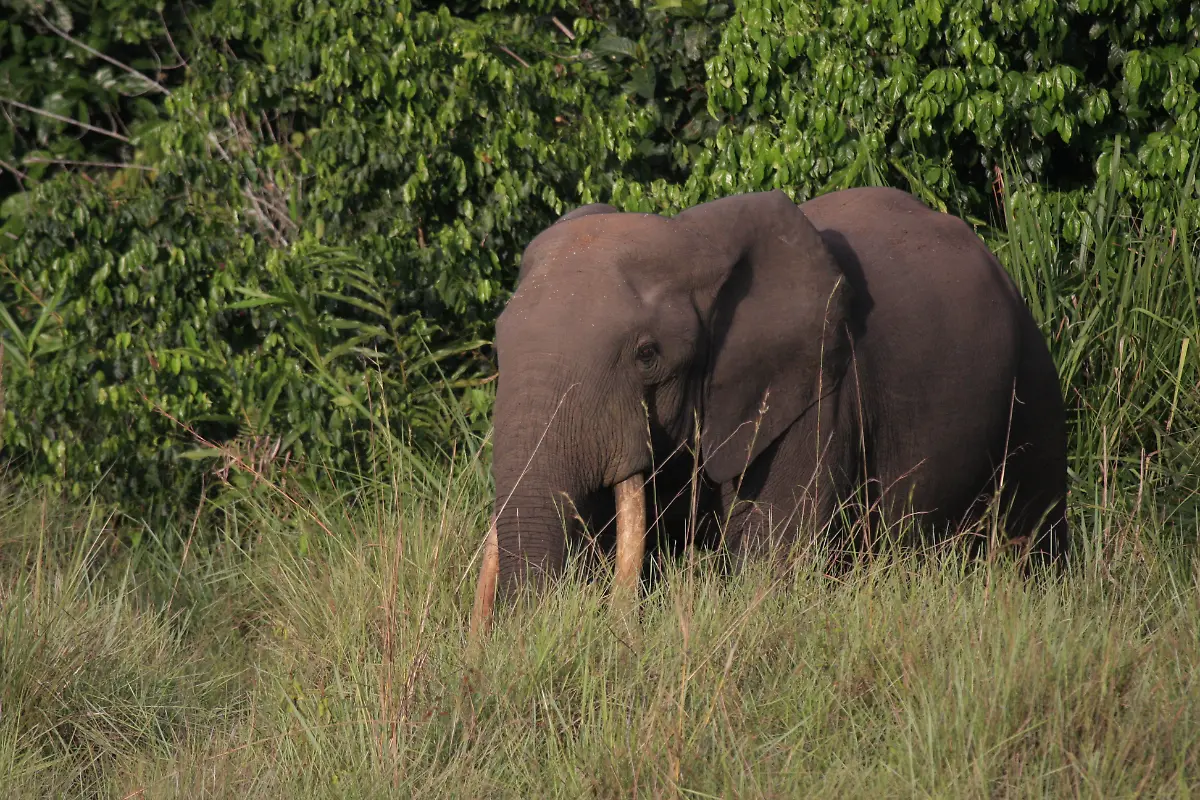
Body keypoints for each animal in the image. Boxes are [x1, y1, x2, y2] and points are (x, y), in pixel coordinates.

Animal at [471, 186, 1069, 630]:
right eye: (499, 349)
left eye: (647, 355)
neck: (695, 243)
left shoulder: (819, 394)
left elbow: (774, 557)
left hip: (1032, 378)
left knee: (1031, 532)